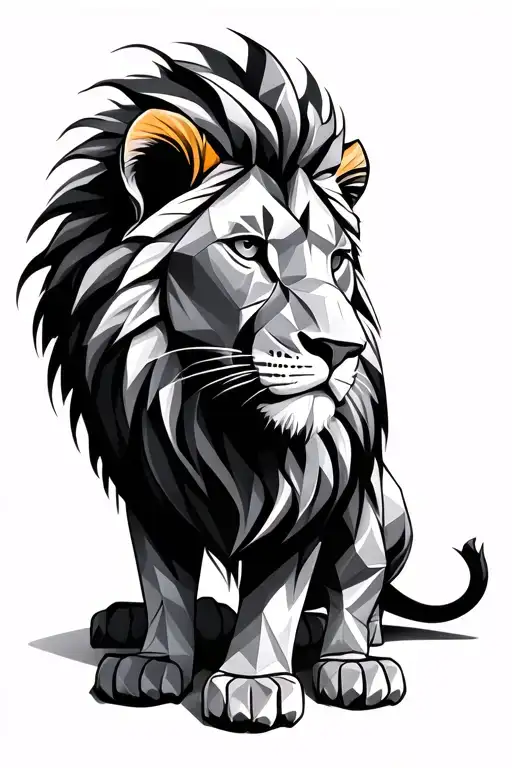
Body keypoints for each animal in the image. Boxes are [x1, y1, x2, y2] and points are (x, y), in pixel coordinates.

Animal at [18, 34, 487, 732]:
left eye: (339, 261)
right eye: (247, 249)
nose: (343, 348)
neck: (215, 410)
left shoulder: (313, 491)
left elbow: (278, 593)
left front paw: (252, 684)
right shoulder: (152, 483)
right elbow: (164, 582)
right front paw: (154, 661)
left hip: (377, 502)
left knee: (363, 587)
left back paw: (351, 659)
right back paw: (143, 621)